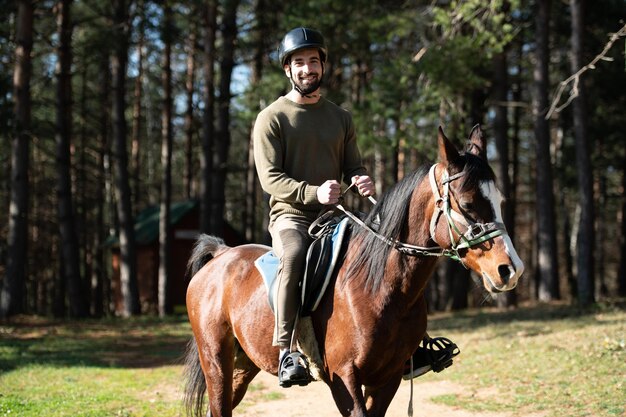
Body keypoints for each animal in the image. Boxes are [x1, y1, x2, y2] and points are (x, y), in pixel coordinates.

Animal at [182, 126, 520, 416]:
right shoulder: (343, 378)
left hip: (244, 363)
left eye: (501, 200)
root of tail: (222, 254)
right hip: (216, 360)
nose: (510, 270)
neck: (381, 287)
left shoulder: (388, 378)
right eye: (468, 203)